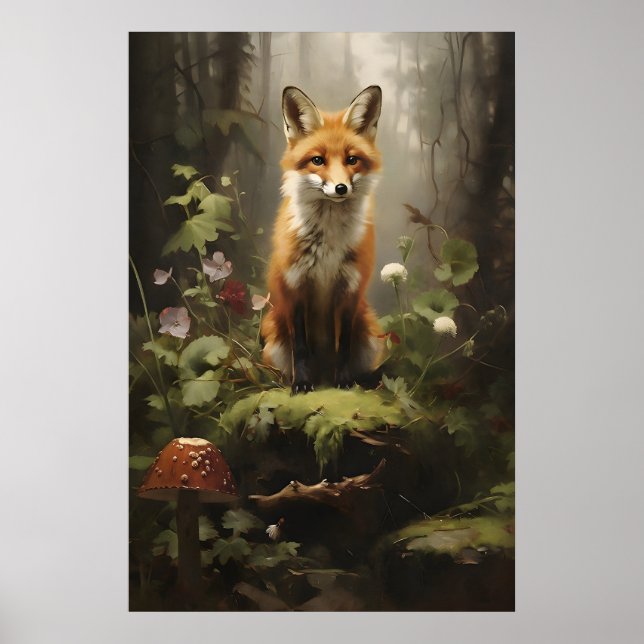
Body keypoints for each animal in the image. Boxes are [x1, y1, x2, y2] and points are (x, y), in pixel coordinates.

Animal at [261, 85, 384, 393]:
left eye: (352, 160)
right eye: (318, 160)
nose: (340, 188)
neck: (328, 243)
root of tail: (323, 371)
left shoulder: (349, 290)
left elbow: (344, 346)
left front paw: (344, 382)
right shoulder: (295, 288)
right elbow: (301, 348)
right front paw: (302, 384)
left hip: (371, 337)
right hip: (273, 341)